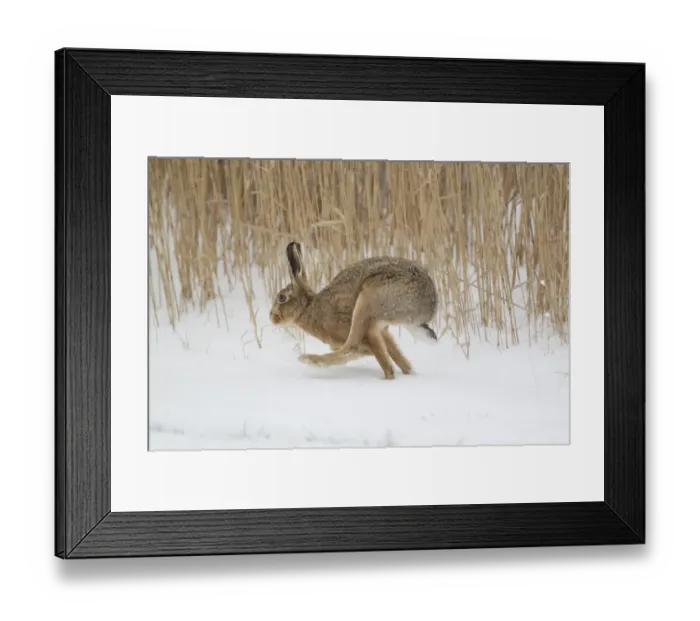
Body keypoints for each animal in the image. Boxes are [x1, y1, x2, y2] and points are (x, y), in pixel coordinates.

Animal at [269, 241, 438, 380]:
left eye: (282, 297)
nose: (272, 317)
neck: (308, 307)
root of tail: (429, 305)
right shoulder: (383, 334)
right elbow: (395, 353)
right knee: (401, 363)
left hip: (367, 302)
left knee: (352, 347)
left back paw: (309, 359)